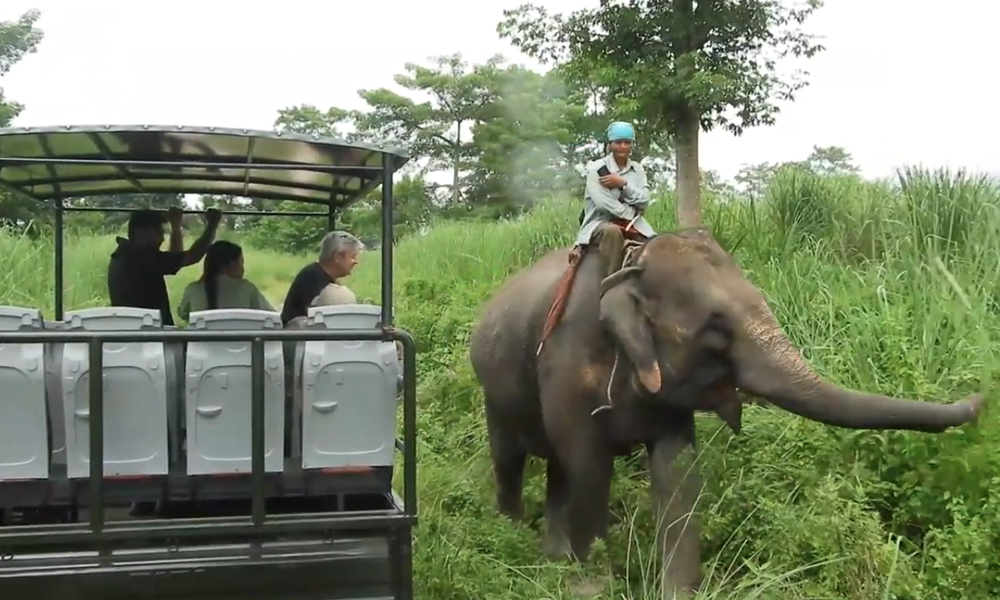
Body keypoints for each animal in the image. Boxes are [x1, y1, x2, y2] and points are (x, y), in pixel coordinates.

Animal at [468, 224, 984, 596]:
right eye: (716, 326)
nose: (979, 398)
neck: (631, 263)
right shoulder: (565, 366)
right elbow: (590, 468)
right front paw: (590, 585)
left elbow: (678, 477)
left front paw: (674, 591)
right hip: (494, 390)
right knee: (512, 459)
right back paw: (510, 535)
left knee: (557, 469)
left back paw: (549, 555)